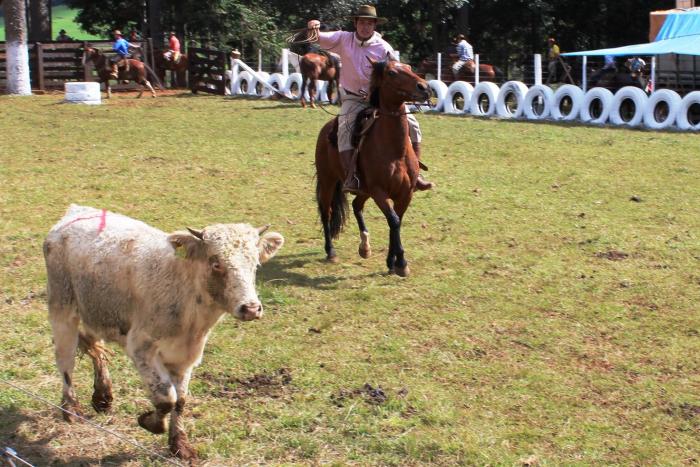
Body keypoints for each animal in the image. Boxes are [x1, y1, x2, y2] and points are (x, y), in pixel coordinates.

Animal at [43, 207, 284, 462]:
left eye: (255, 264)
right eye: (215, 263)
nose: (251, 308)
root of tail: (75, 211)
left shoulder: (186, 357)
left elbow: (181, 400)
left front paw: (179, 444)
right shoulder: (141, 348)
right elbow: (166, 397)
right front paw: (150, 423)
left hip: (95, 310)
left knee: (93, 345)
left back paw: (102, 395)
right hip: (62, 307)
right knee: (65, 359)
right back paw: (71, 407)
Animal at [314, 58, 430, 278]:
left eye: (409, 68)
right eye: (392, 73)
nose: (424, 88)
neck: (395, 151)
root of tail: (326, 129)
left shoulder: (405, 193)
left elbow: (397, 221)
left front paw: (392, 261)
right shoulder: (379, 192)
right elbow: (393, 220)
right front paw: (401, 262)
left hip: (363, 190)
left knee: (356, 205)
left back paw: (364, 247)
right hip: (328, 181)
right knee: (327, 212)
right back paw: (331, 251)